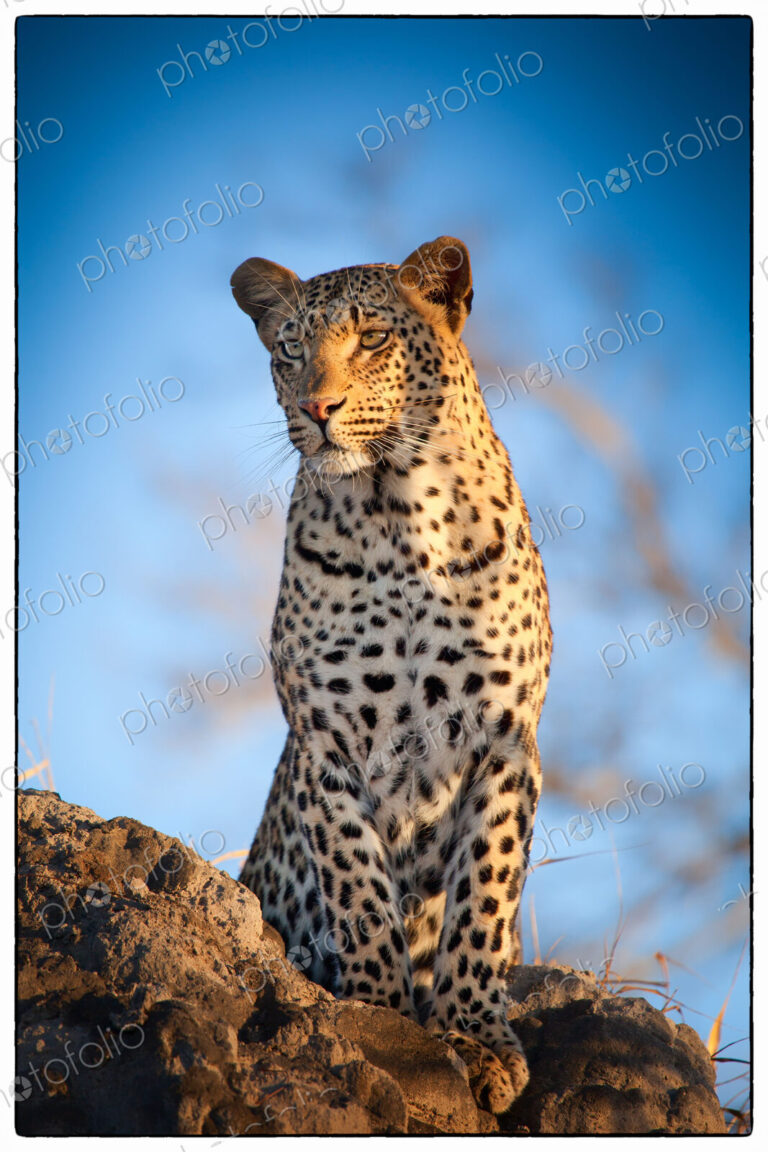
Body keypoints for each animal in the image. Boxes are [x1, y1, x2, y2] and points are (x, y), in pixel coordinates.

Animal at [231, 235, 551, 1115]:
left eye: (372, 338)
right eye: (289, 349)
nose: (318, 409)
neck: (396, 515)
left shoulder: (507, 742)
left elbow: (484, 895)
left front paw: (473, 1036)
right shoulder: (325, 741)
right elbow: (359, 885)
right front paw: (379, 1015)